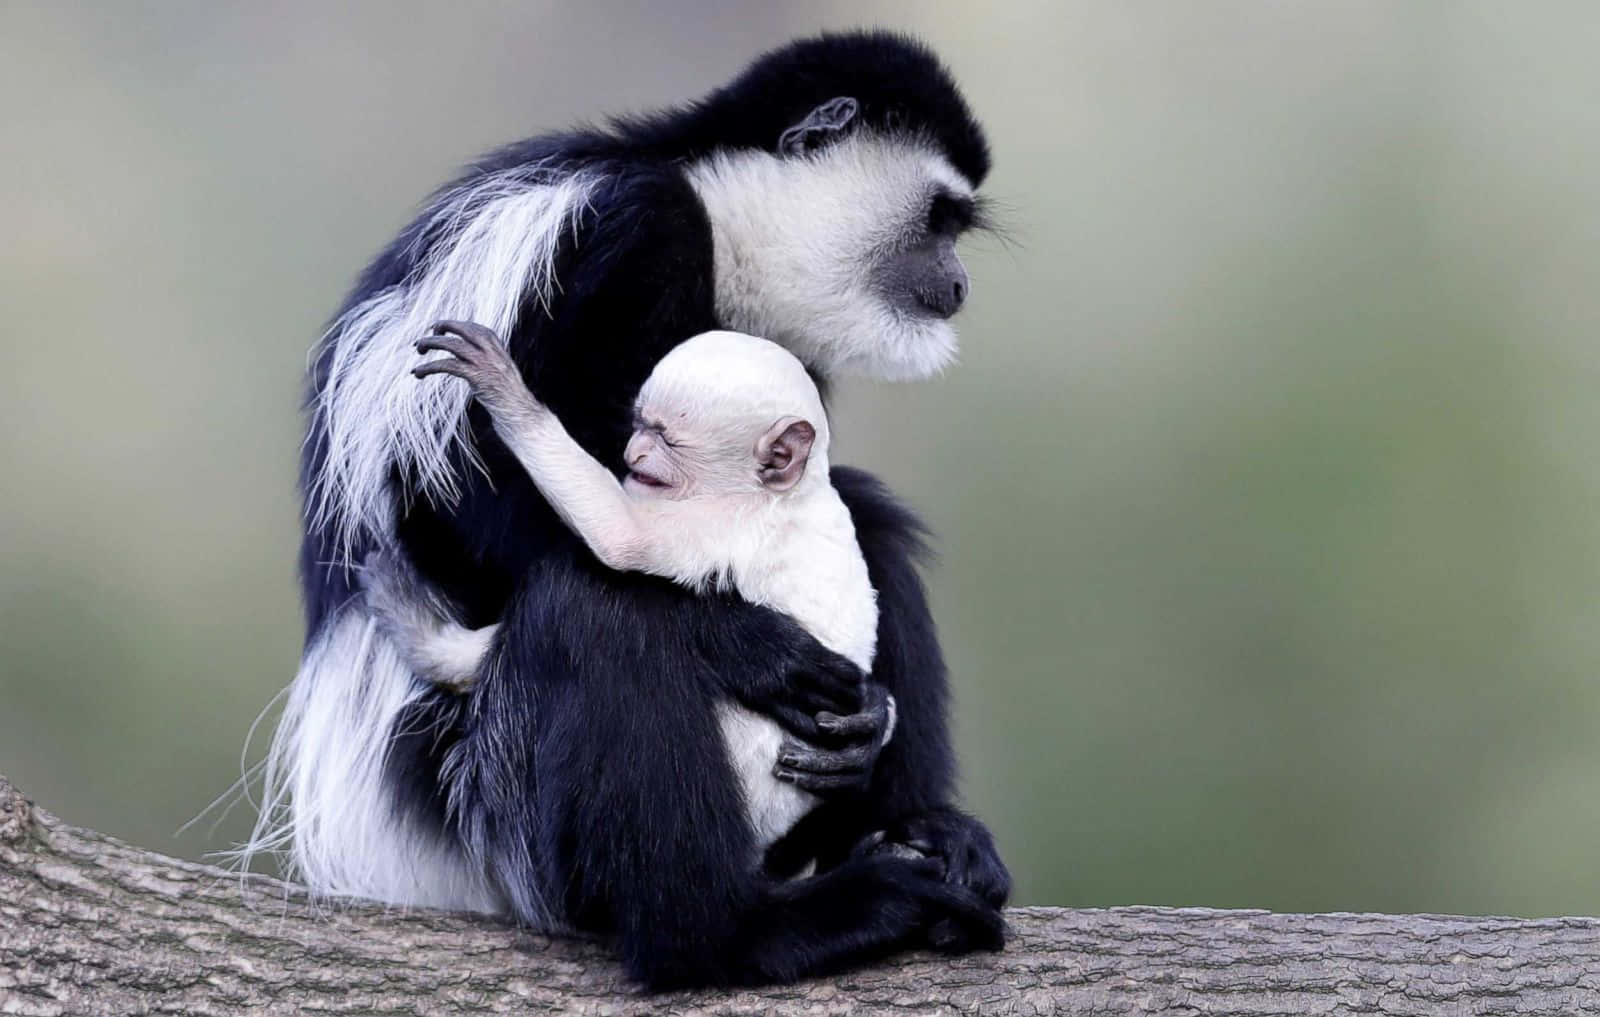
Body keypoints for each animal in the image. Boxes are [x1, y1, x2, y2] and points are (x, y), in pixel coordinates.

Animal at [260, 30, 1010, 988]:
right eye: (940, 220)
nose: (957, 285)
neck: (719, 215)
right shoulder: (624, 235)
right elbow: (463, 505)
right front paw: (745, 641)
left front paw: (870, 725)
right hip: (487, 802)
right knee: (593, 611)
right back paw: (743, 930)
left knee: (868, 519)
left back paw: (922, 836)